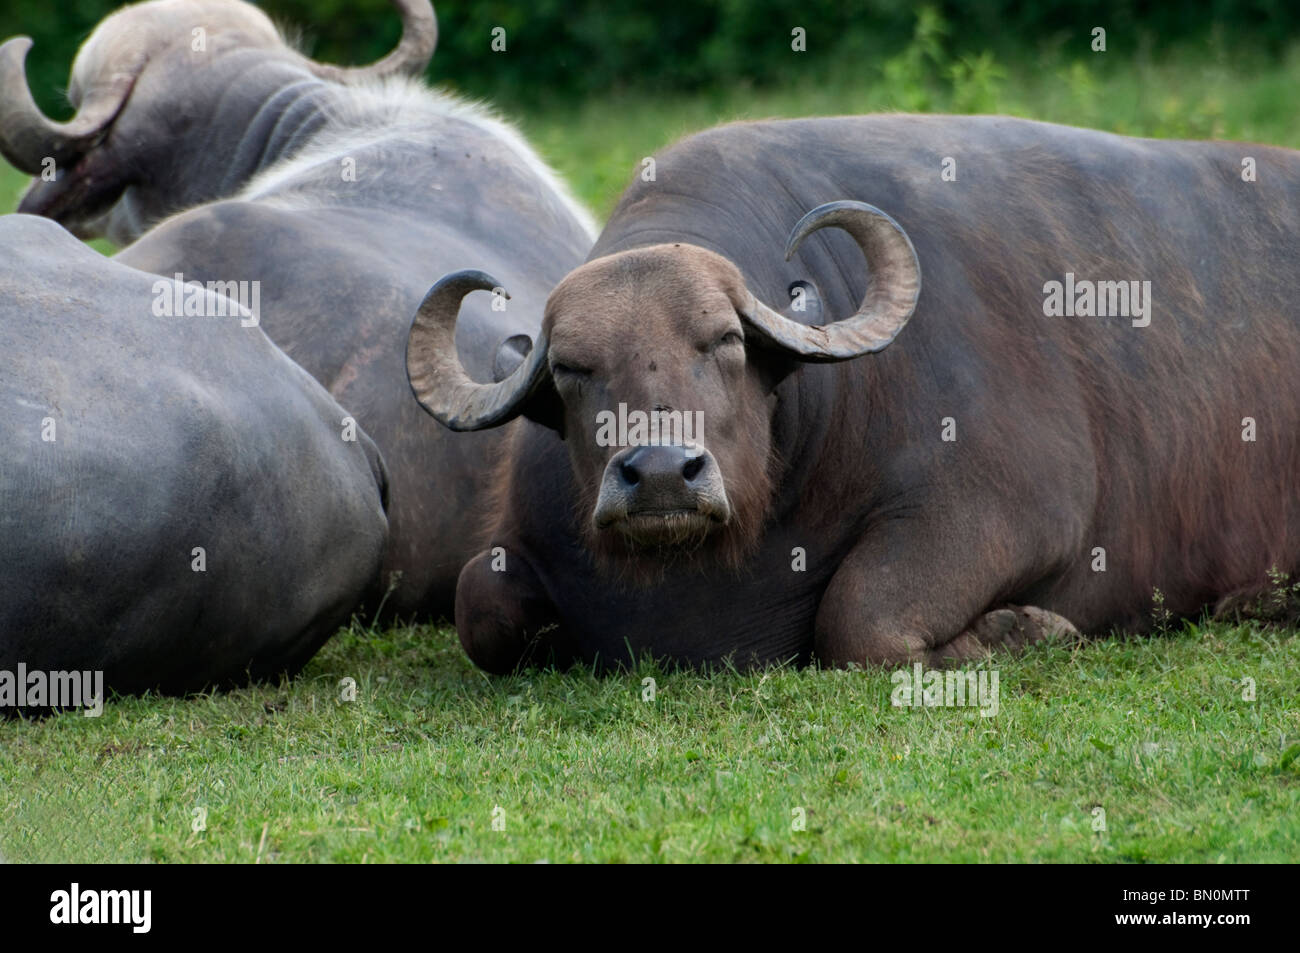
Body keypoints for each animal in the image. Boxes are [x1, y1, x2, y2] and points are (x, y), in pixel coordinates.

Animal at [406, 116, 1300, 671]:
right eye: (571, 369)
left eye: (724, 342)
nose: (659, 473)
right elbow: (478, 602)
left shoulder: (1018, 504)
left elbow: (859, 615)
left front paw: (1024, 630)